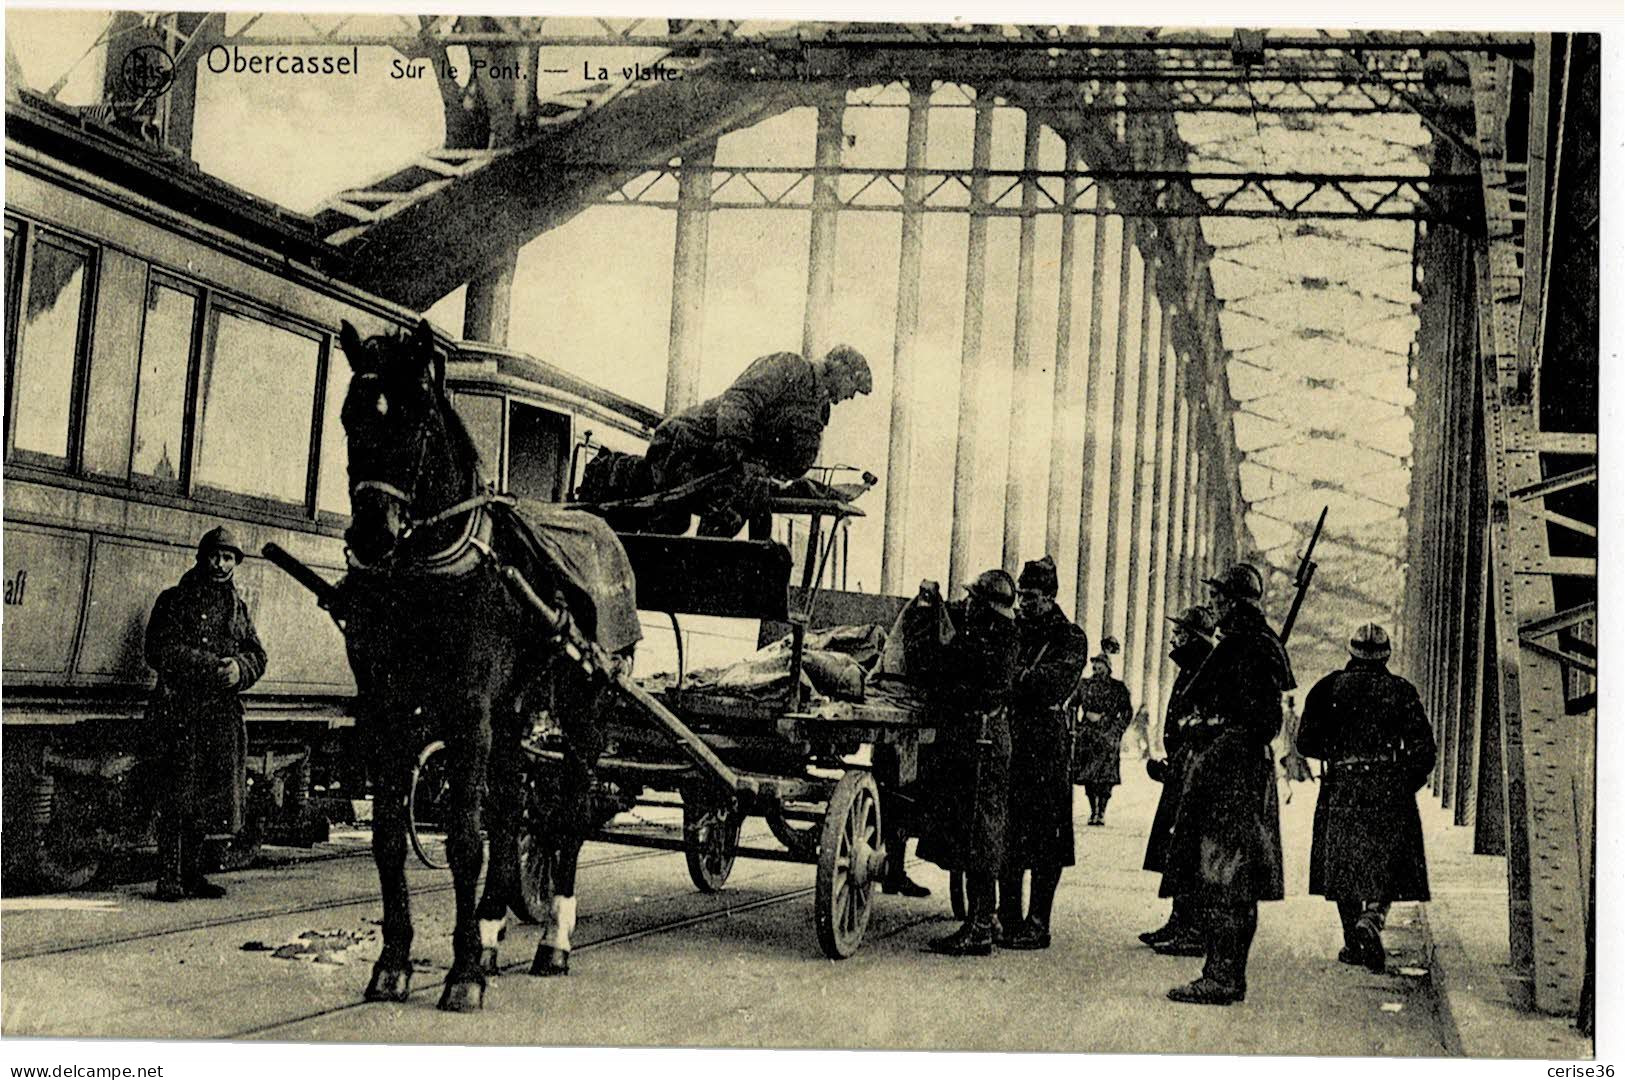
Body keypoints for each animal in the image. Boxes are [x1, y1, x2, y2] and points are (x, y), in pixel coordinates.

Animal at [336, 316, 627, 1006]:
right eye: (350, 415)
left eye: (416, 419)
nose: (371, 535)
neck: (430, 572)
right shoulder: (386, 709)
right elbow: (389, 836)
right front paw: (394, 961)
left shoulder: (469, 710)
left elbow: (466, 840)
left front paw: (463, 972)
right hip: (514, 714)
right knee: (513, 807)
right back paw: (494, 931)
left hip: (583, 706)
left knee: (569, 813)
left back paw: (553, 941)